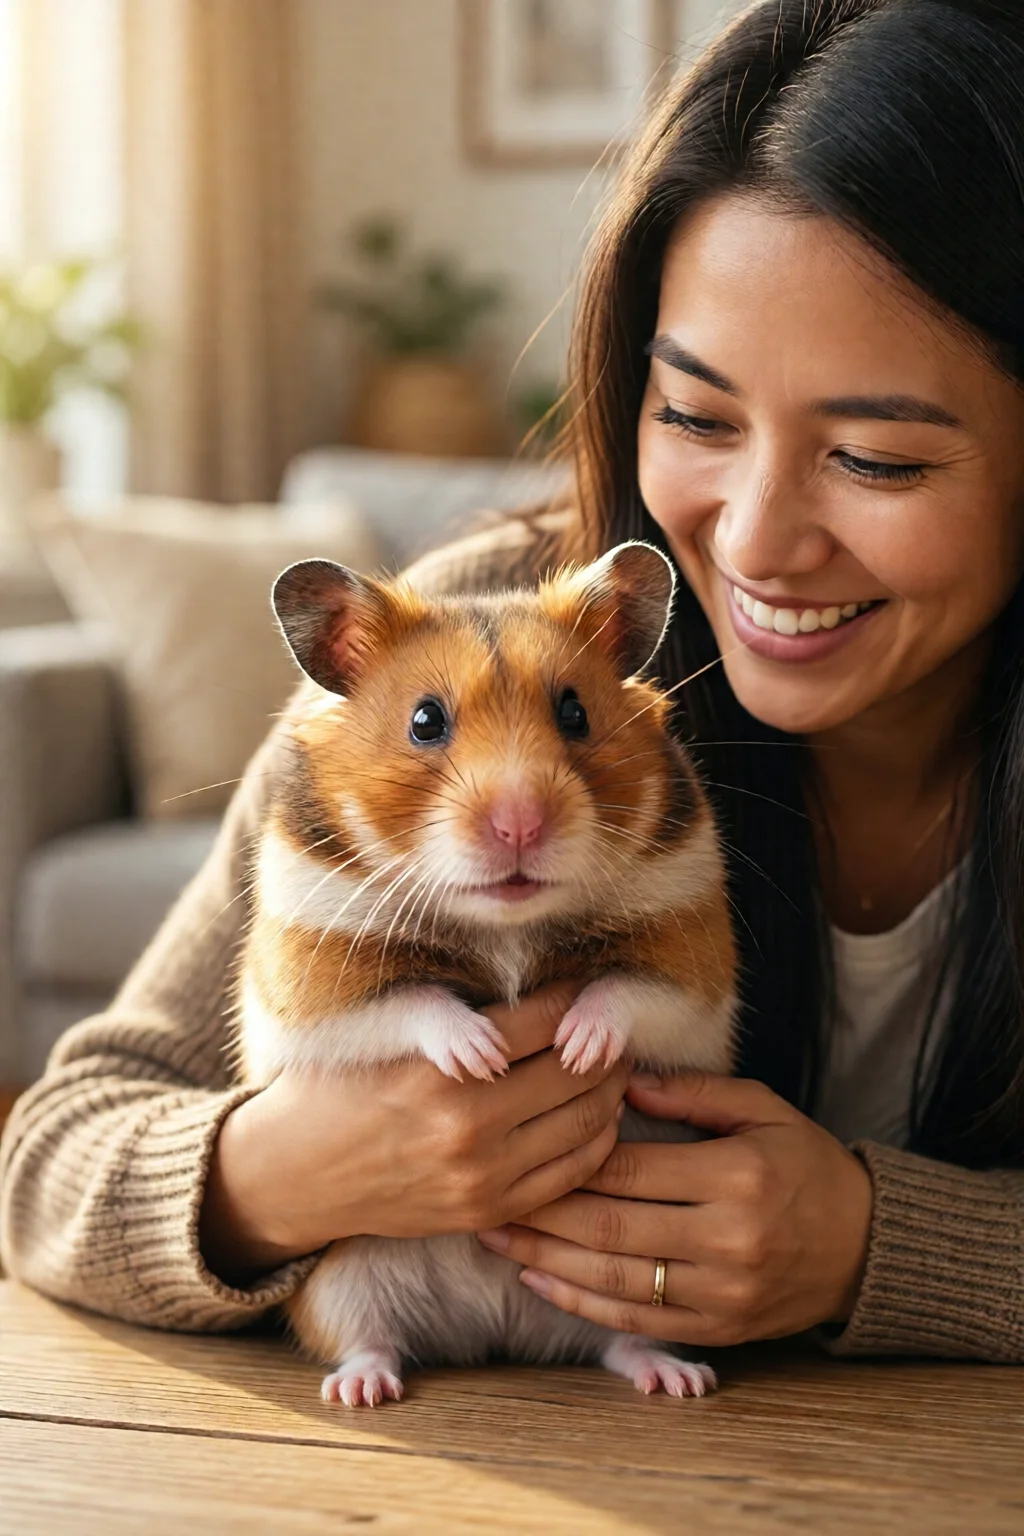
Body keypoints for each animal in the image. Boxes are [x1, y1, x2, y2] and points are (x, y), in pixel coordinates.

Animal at [235, 540, 737, 1407]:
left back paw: (677, 1379)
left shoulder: (693, 954)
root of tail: (492, 1330)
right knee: (368, 1339)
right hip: (341, 1282)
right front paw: (486, 1057)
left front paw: (575, 1047)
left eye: (574, 712)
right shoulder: (310, 977)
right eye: (424, 721)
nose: (519, 825)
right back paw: (362, 1390)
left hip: (624, 1294)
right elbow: (410, 1003)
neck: (504, 926)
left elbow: (627, 993)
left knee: (622, 1342)